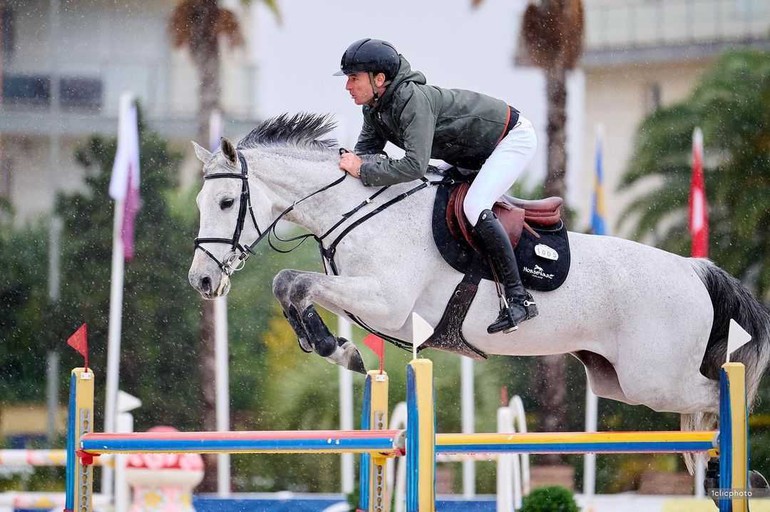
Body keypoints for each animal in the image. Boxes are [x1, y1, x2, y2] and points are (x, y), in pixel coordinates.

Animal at [189, 114, 768, 466]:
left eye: (225, 203)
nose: (201, 281)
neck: (360, 208)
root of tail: (695, 270)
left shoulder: (386, 302)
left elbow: (296, 281)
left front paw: (337, 348)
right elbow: (289, 284)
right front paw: (335, 348)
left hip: (655, 379)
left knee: (718, 397)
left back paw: (722, 461)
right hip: (618, 382)